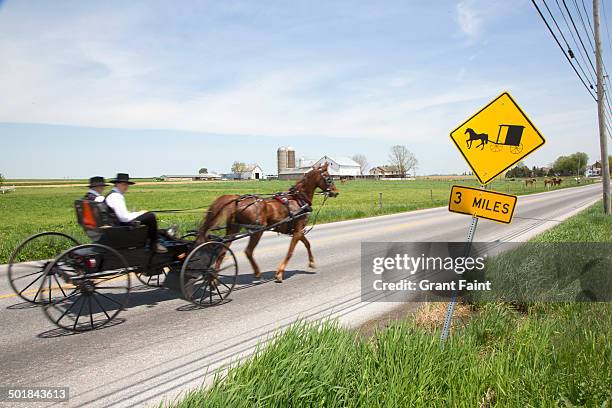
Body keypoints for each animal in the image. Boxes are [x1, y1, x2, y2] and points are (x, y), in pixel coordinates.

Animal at [197, 163, 338, 284]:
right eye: (329, 178)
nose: (336, 192)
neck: (299, 200)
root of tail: (237, 200)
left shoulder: (298, 231)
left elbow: (307, 244)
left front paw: (312, 262)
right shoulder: (298, 231)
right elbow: (290, 252)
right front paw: (280, 273)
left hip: (233, 229)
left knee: (222, 251)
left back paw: (214, 278)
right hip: (257, 231)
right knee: (248, 251)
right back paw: (257, 273)